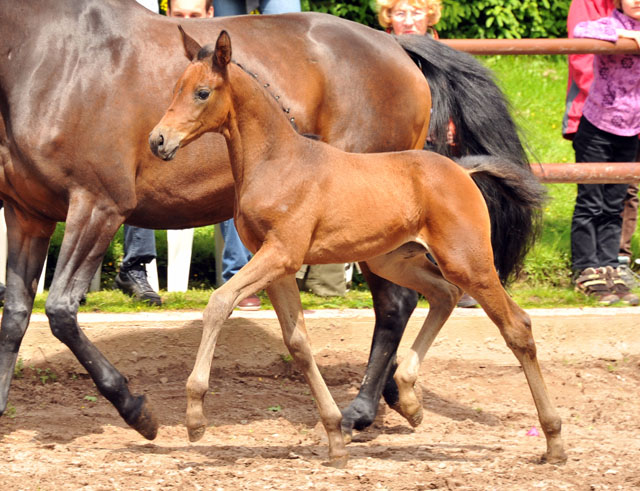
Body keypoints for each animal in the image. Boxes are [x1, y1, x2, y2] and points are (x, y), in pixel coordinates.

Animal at [149, 28, 564, 468]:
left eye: (202, 92)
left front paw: (195, 418)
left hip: (467, 261)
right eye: (176, 89)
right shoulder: (276, 265)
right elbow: (298, 343)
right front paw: (335, 437)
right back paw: (410, 398)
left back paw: (554, 441)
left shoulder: (281, 254)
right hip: (392, 260)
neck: (276, 161)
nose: (158, 140)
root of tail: (461, 170)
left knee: (515, 325)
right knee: (443, 295)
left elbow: (219, 303)